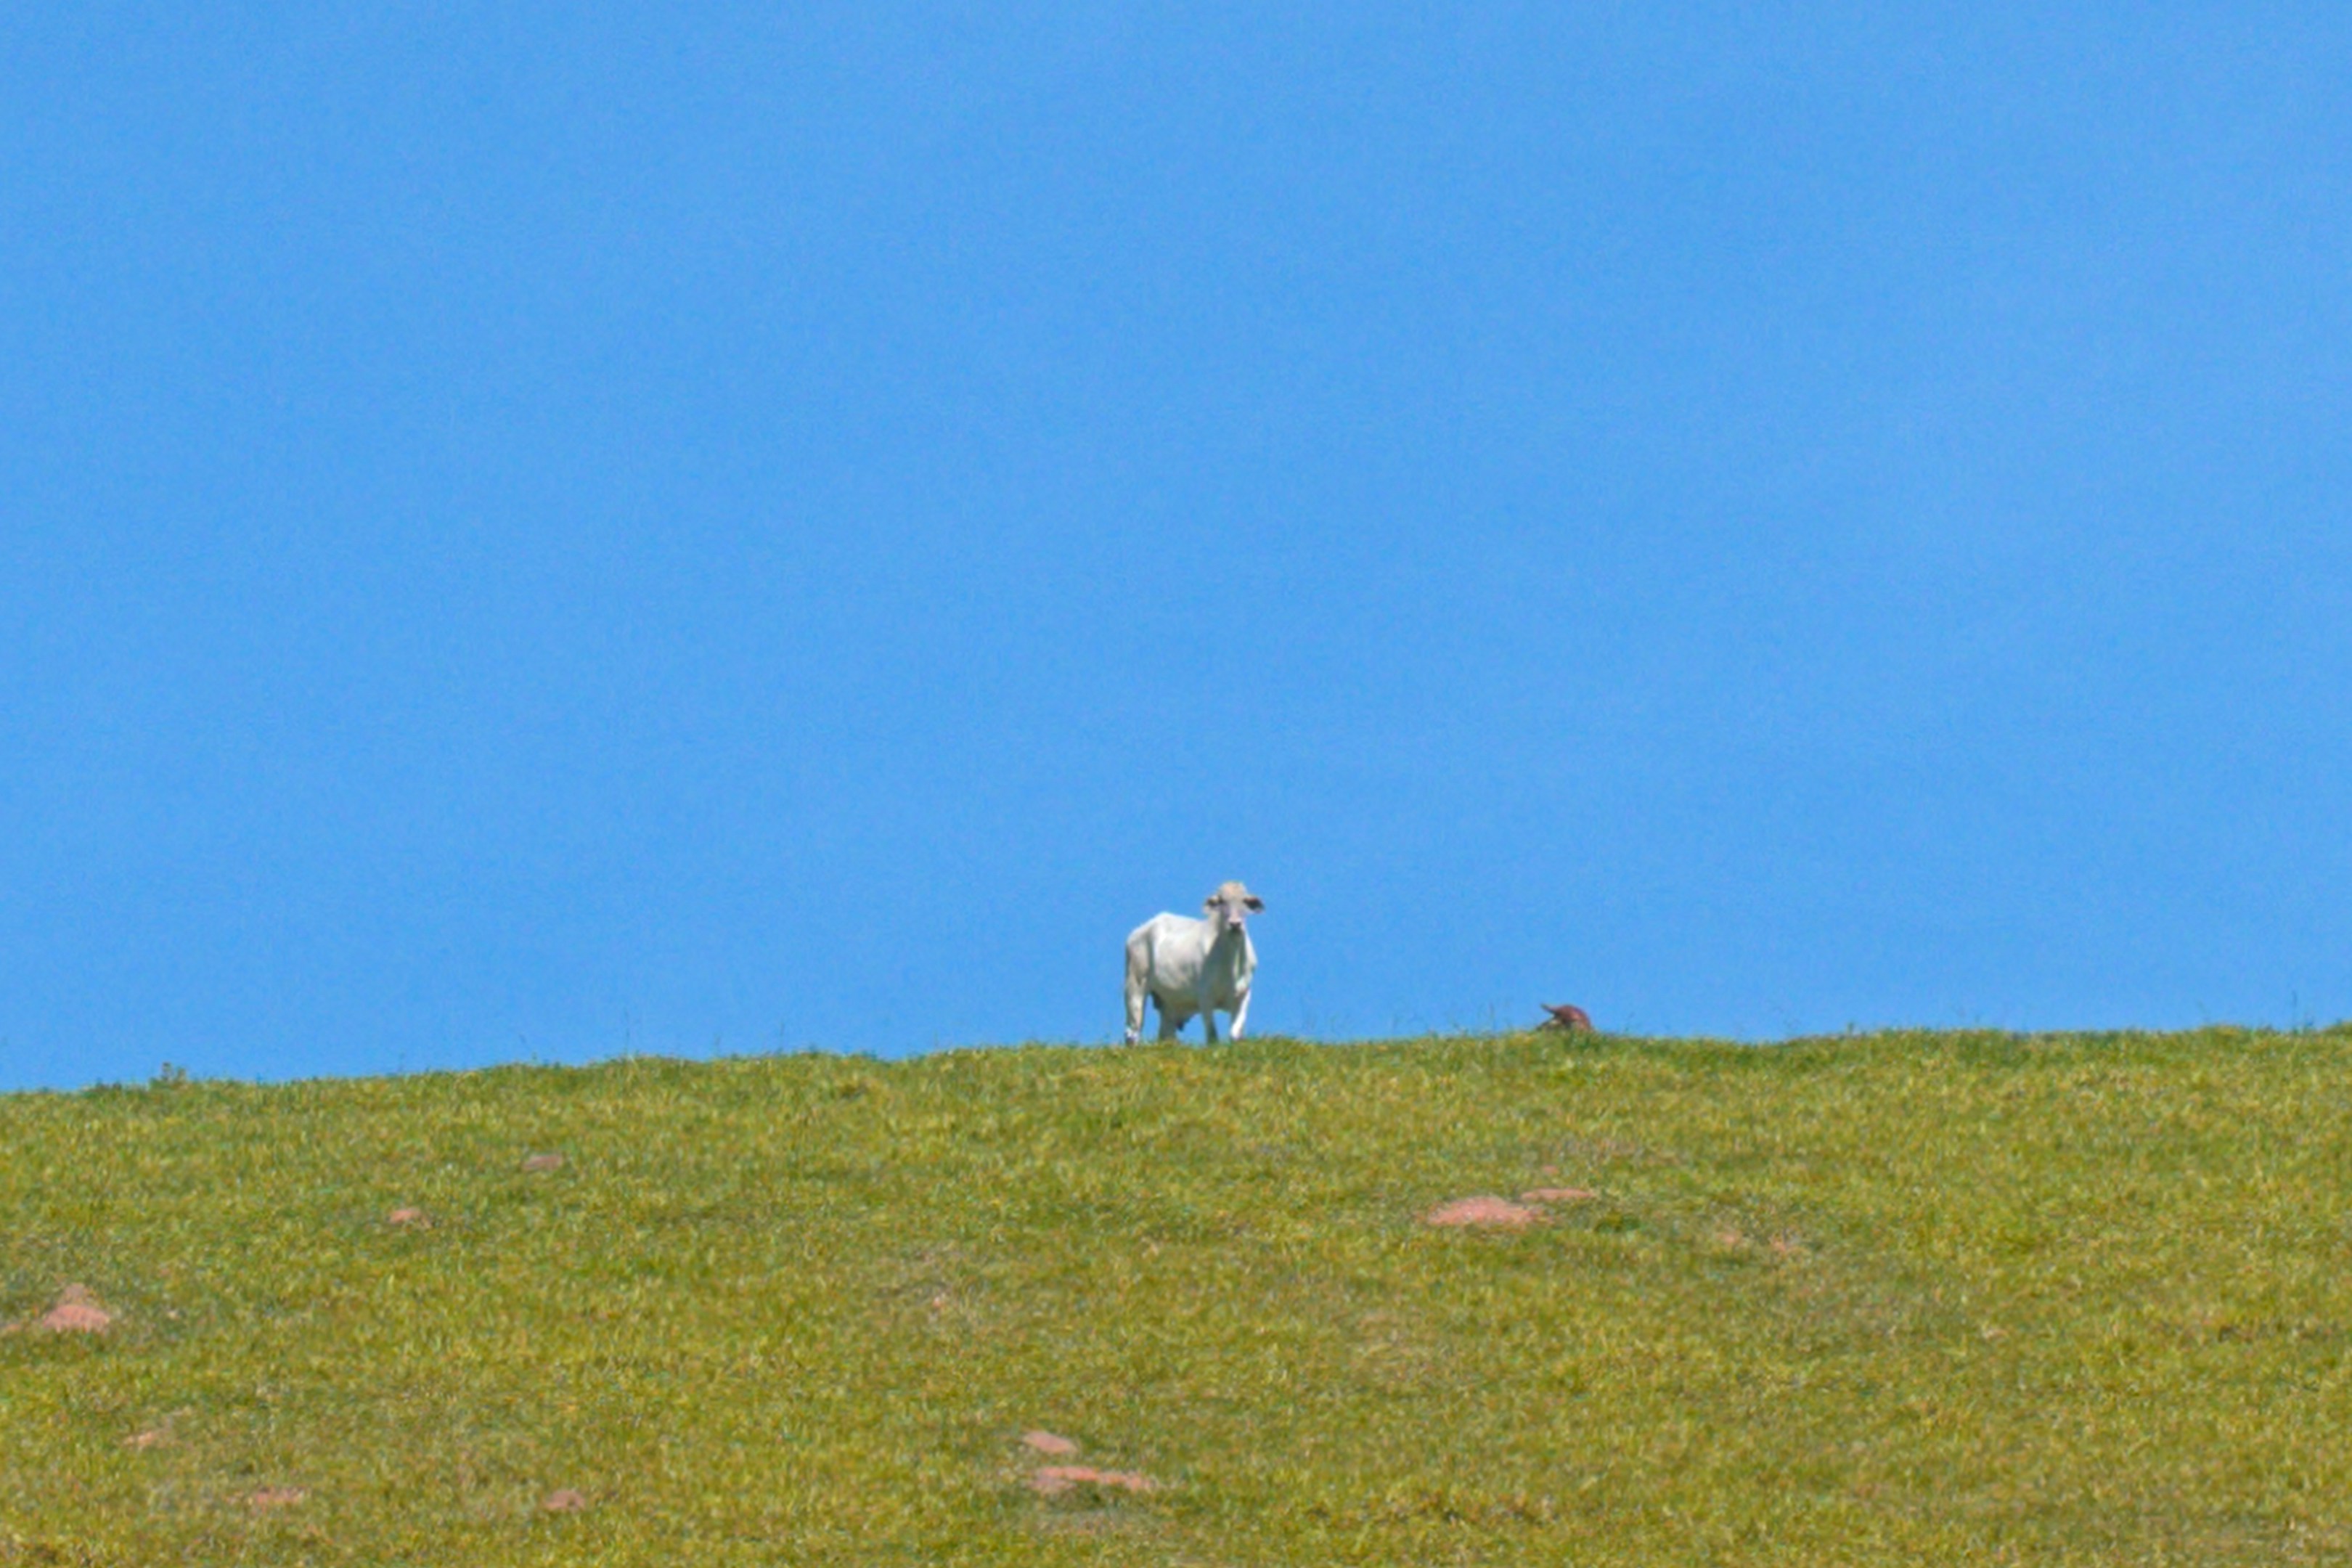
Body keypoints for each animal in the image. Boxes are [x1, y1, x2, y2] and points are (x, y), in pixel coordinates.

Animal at [1123, 881, 1263, 1044]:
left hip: (1168, 1004)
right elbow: (1212, 1036)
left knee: (1166, 1034)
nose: (1235, 924)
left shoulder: (1244, 994)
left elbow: (1236, 1033)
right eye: (1222, 901)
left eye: (1245, 901)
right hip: (1135, 986)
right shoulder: (1205, 997)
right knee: (1133, 1031)